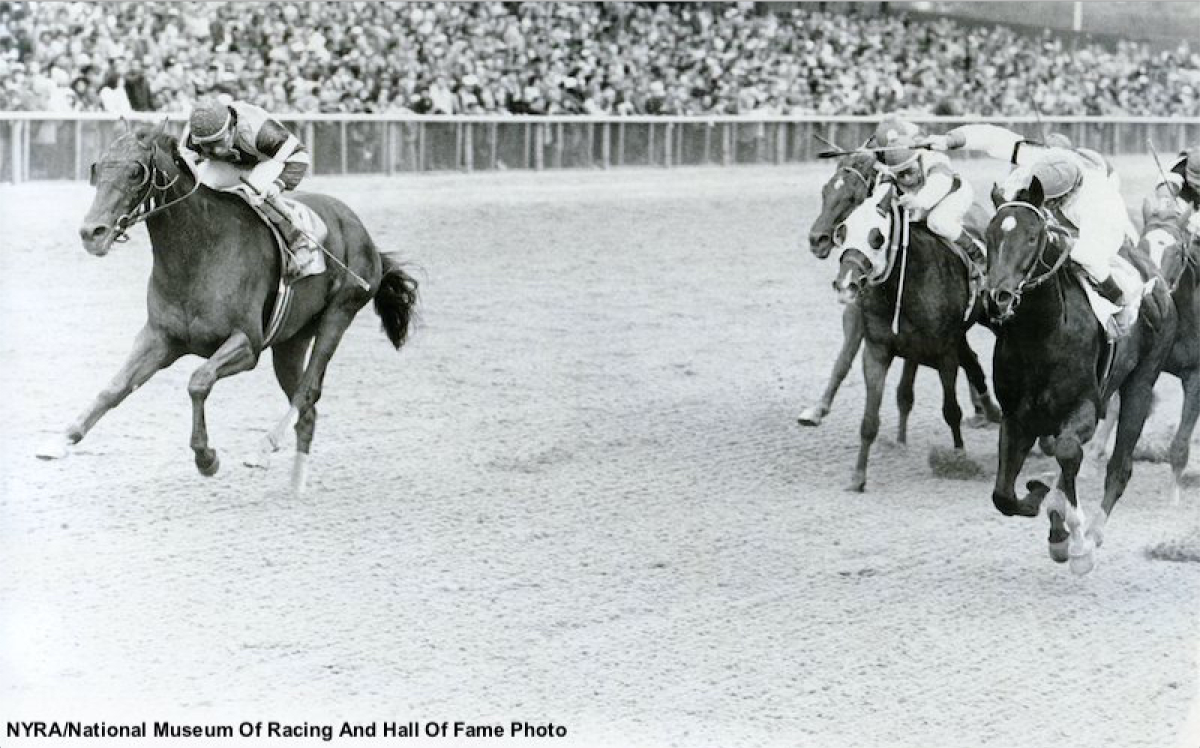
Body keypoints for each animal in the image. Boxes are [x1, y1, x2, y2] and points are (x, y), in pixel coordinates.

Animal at [37, 121, 420, 497]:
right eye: (97, 167)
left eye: (135, 172)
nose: (92, 233)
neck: (198, 253)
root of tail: (364, 233)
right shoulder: (160, 338)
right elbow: (114, 388)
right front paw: (61, 440)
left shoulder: (247, 344)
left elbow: (198, 381)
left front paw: (206, 457)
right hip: (291, 340)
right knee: (307, 408)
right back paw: (296, 482)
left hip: (338, 314)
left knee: (307, 391)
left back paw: (264, 448)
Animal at [801, 150, 998, 432]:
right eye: (825, 191)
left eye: (852, 197)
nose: (817, 240)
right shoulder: (859, 312)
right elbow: (844, 359)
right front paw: (817, 409)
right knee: (968, 355)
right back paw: (982, 409)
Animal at [830, 184, 988, 494]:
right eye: (842, 230)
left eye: (877, 237)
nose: (847, 284)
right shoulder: (877, 350)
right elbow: (869, 420)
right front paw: (858, 476)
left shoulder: (944, 352)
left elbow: (951, 410)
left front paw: (959, 456)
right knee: (968, 365)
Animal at [984, 178, 1171, 576]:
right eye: (990, 236)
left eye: (1032, 236)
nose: (997, 297)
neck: (1041, 333)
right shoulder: (1017, 417)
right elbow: (1003, 495)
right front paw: (1039, 500)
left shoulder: (1085, 406)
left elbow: (1070, 453)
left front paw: (1076, 539)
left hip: (1140, 384)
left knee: (1119, 467)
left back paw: (1092, 534)